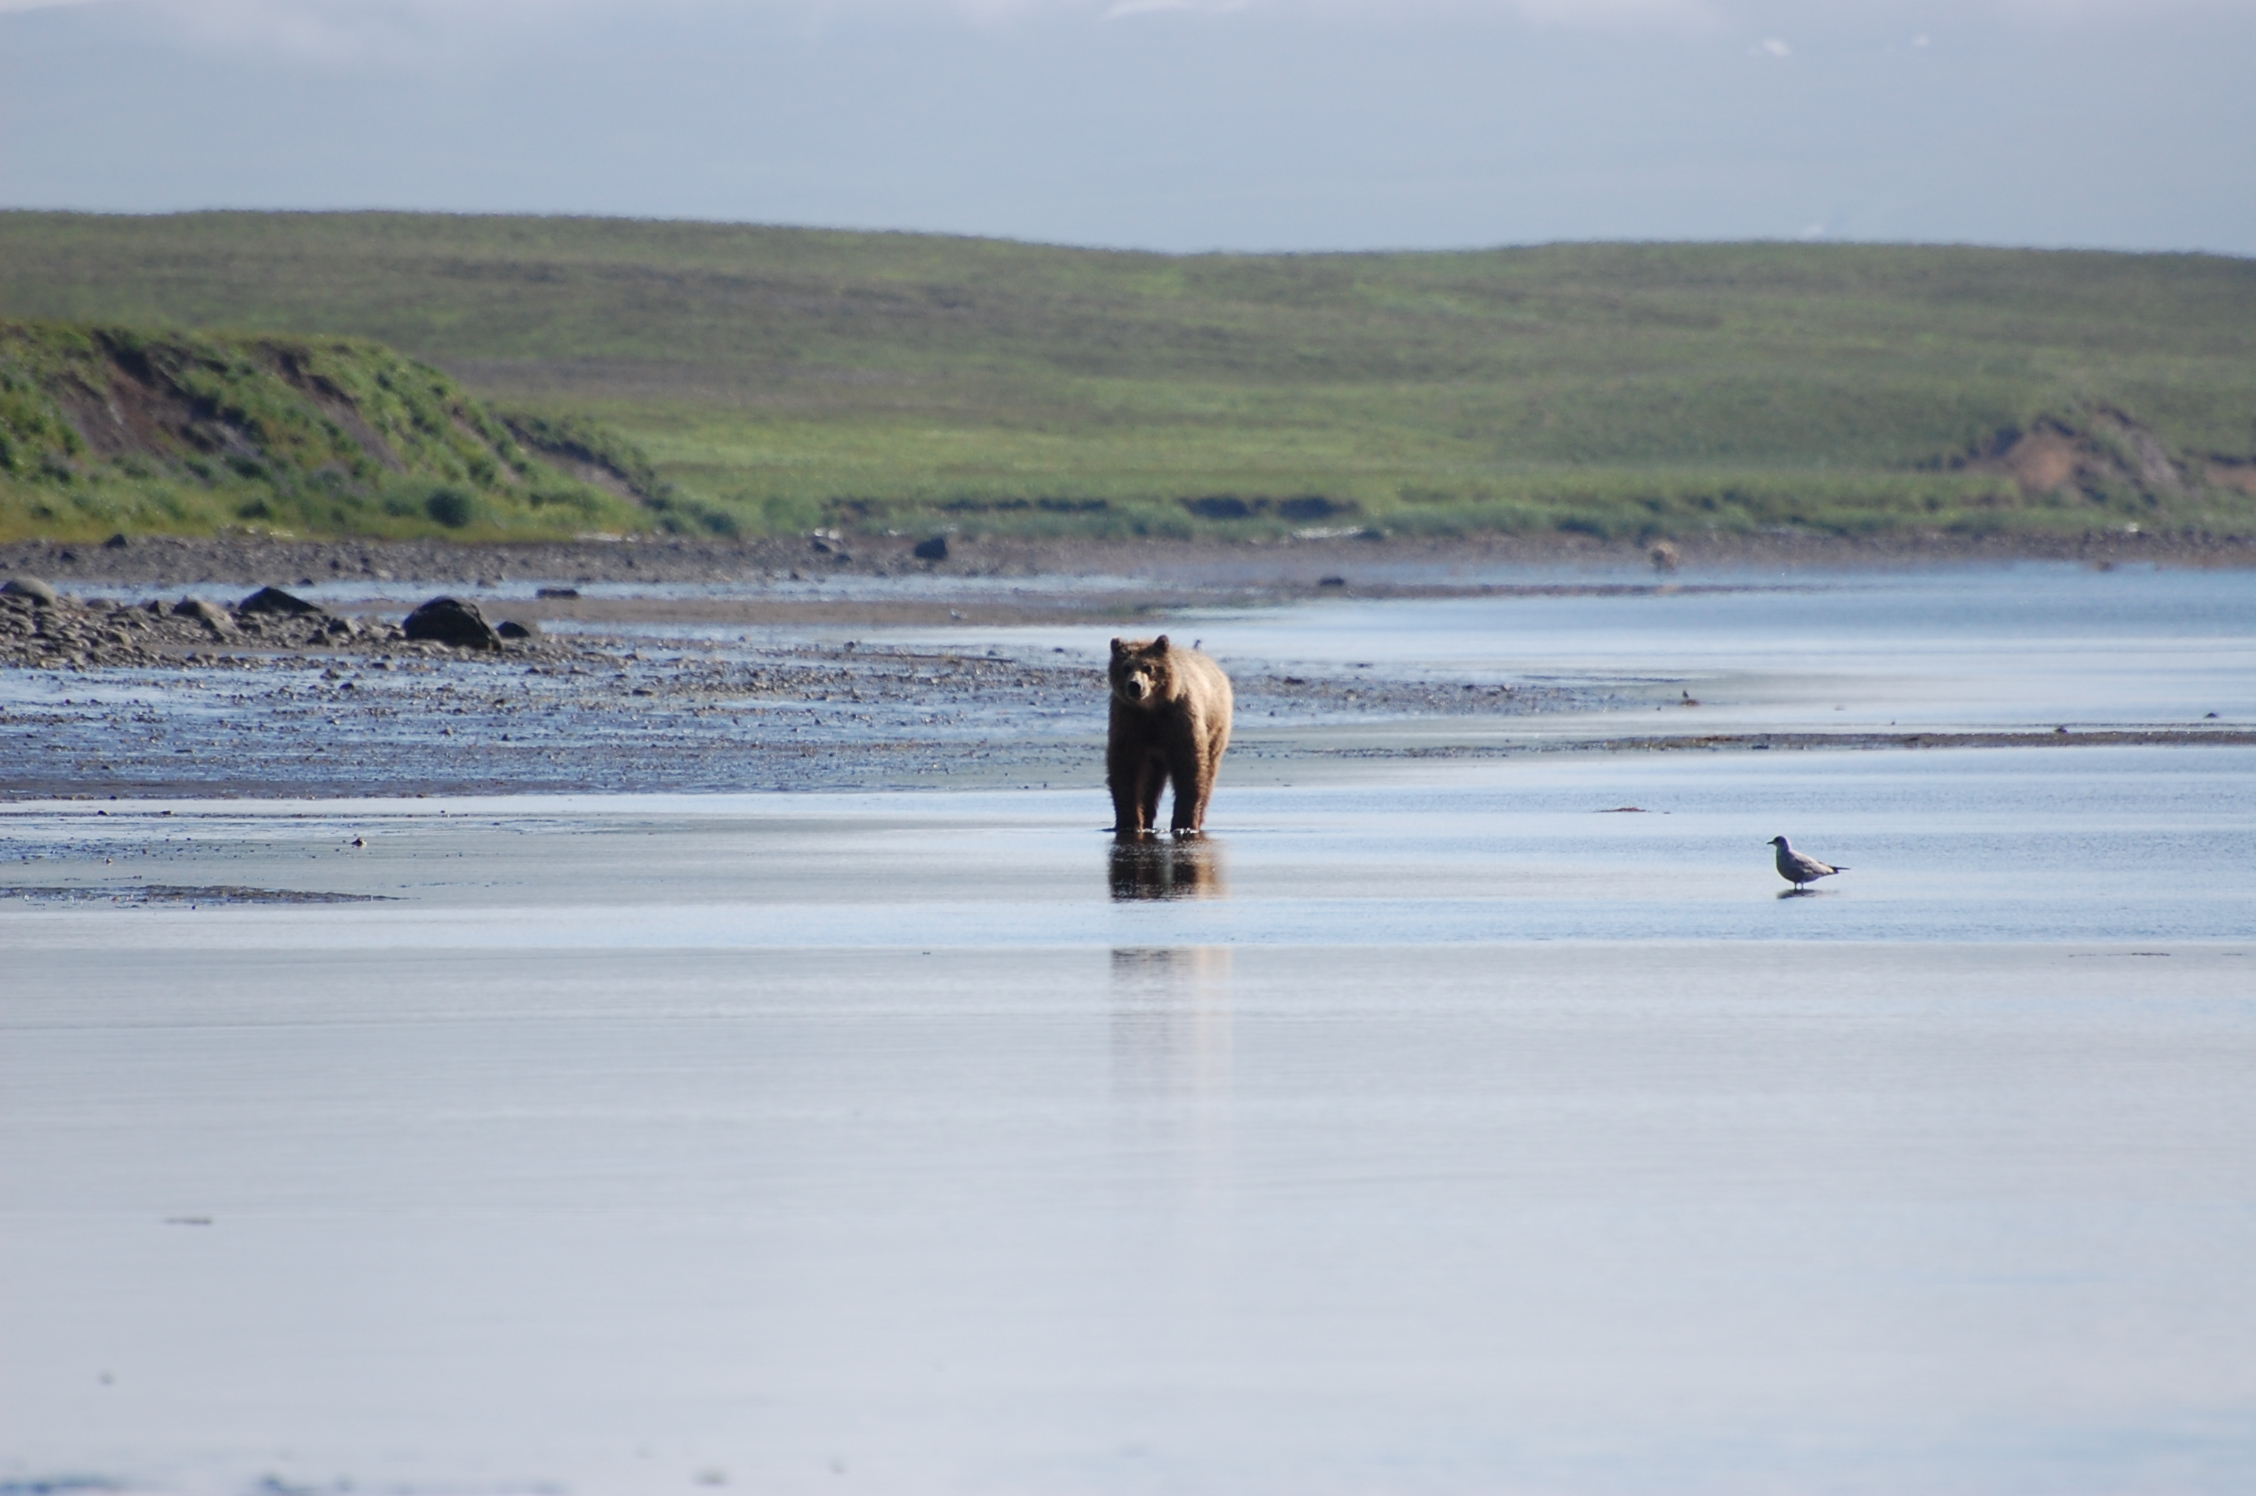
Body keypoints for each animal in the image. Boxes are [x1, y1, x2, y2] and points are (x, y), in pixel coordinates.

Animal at [1105, 636, 1236, 834]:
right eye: (1126, 667)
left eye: (1148, 667)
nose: (1135, 685)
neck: (1151, 709)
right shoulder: (1128, 721)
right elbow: (1125, 768)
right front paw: (1129, 823)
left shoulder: (1178, 720)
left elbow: (1190, 767)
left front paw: (1184, 823)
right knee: (1151, 781)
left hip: (1216, 728)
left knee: (1209, 770)